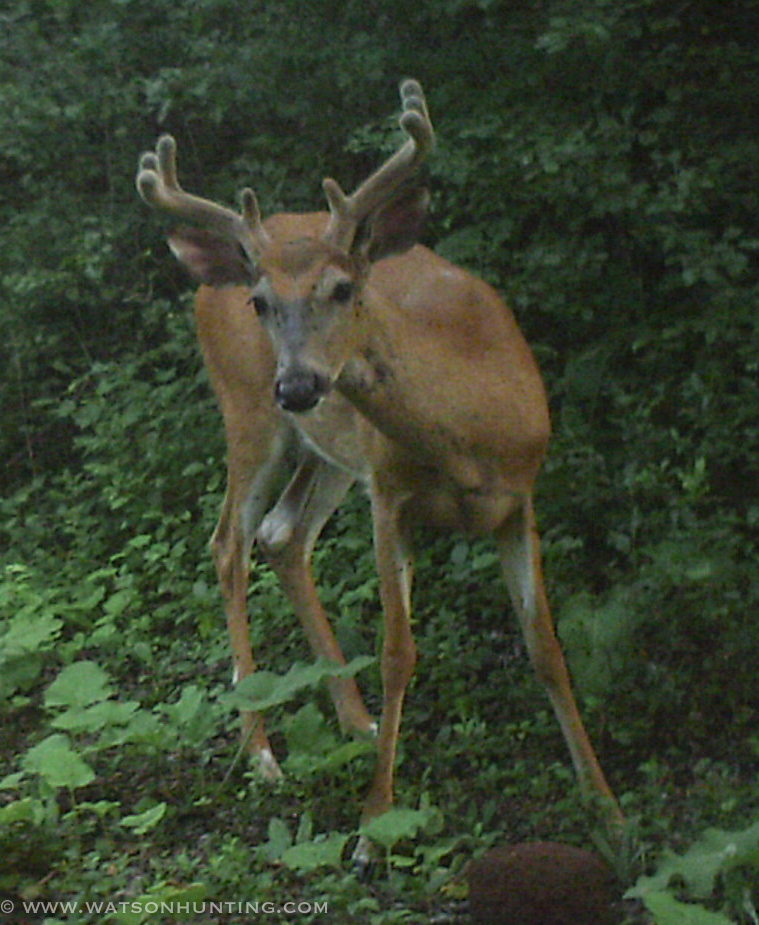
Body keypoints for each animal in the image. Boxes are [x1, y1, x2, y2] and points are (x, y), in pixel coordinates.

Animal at [136, 79, 623, 860]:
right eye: (262, 301)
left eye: (342, 288)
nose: (297, 382)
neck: (470, 435)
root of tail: (210, 278)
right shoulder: (389, 498)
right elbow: (398, 651)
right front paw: (373, 824)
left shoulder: (521, 496)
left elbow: (546, 647)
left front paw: (607, 810)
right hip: (250, 418)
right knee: (228, 542)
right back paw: (262, 750)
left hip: (328, 452)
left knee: (282, 534)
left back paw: (357, 719)